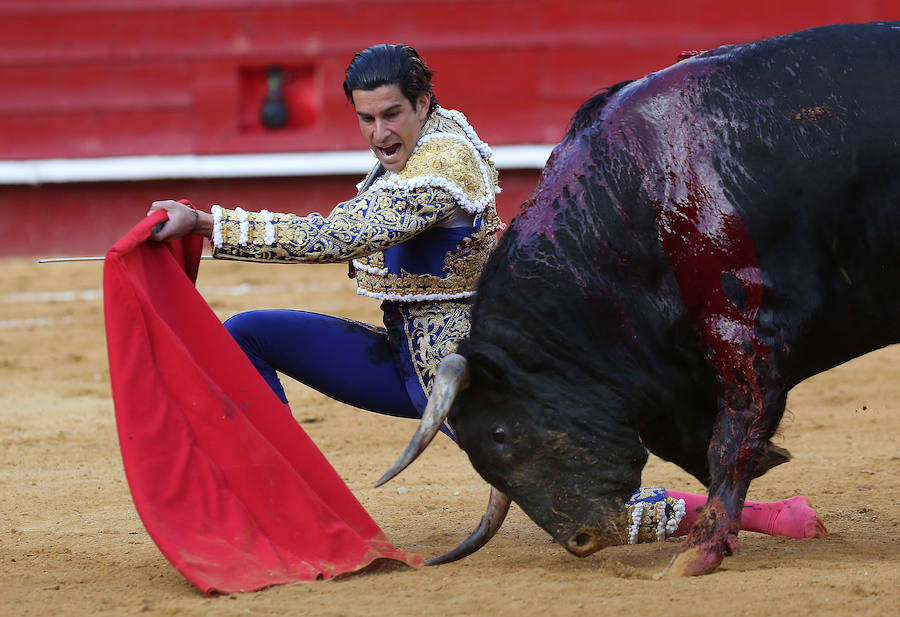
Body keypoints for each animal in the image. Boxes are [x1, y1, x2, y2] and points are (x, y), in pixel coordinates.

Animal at [376, 21, 900, 576]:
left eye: (499, 434)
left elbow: (731, 440)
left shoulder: (746, 331)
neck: (635, 207)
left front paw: (699, 553)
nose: (582, 540)